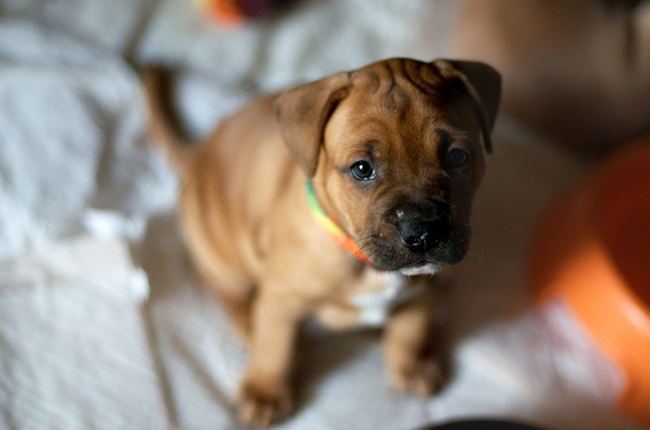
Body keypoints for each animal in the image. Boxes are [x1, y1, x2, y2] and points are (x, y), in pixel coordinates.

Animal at [146, 58, 502, 426]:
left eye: (458, 157)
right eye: (362, 169)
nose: (424, 231)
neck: (365, 265)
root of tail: (199, 153)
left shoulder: (428, 290)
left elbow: (411, 327)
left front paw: (411, 364)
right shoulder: (281, 296)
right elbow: (273, 345)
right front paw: (264, 390)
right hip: (224, 254)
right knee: (226, 290)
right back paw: (249, 325)